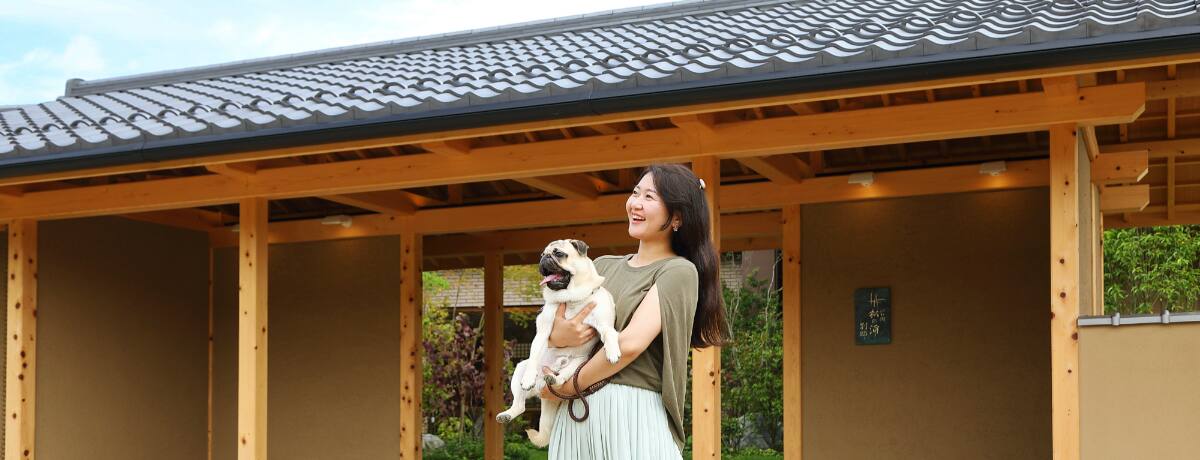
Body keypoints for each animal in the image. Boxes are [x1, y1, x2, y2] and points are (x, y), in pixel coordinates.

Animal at [495, 239, 621, 447]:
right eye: (542, 254)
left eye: (558, 253)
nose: (544, 258)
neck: (572, 299)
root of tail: (542, 390)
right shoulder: (543, 332)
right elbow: (535, 354)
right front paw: (528, 379)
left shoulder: (604, 325)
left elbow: (610, 334)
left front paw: (612, 352)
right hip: (520, 369)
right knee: (520, 404)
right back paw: (509, 411)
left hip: (578, 365)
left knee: (563, 379)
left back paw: (554, 378)